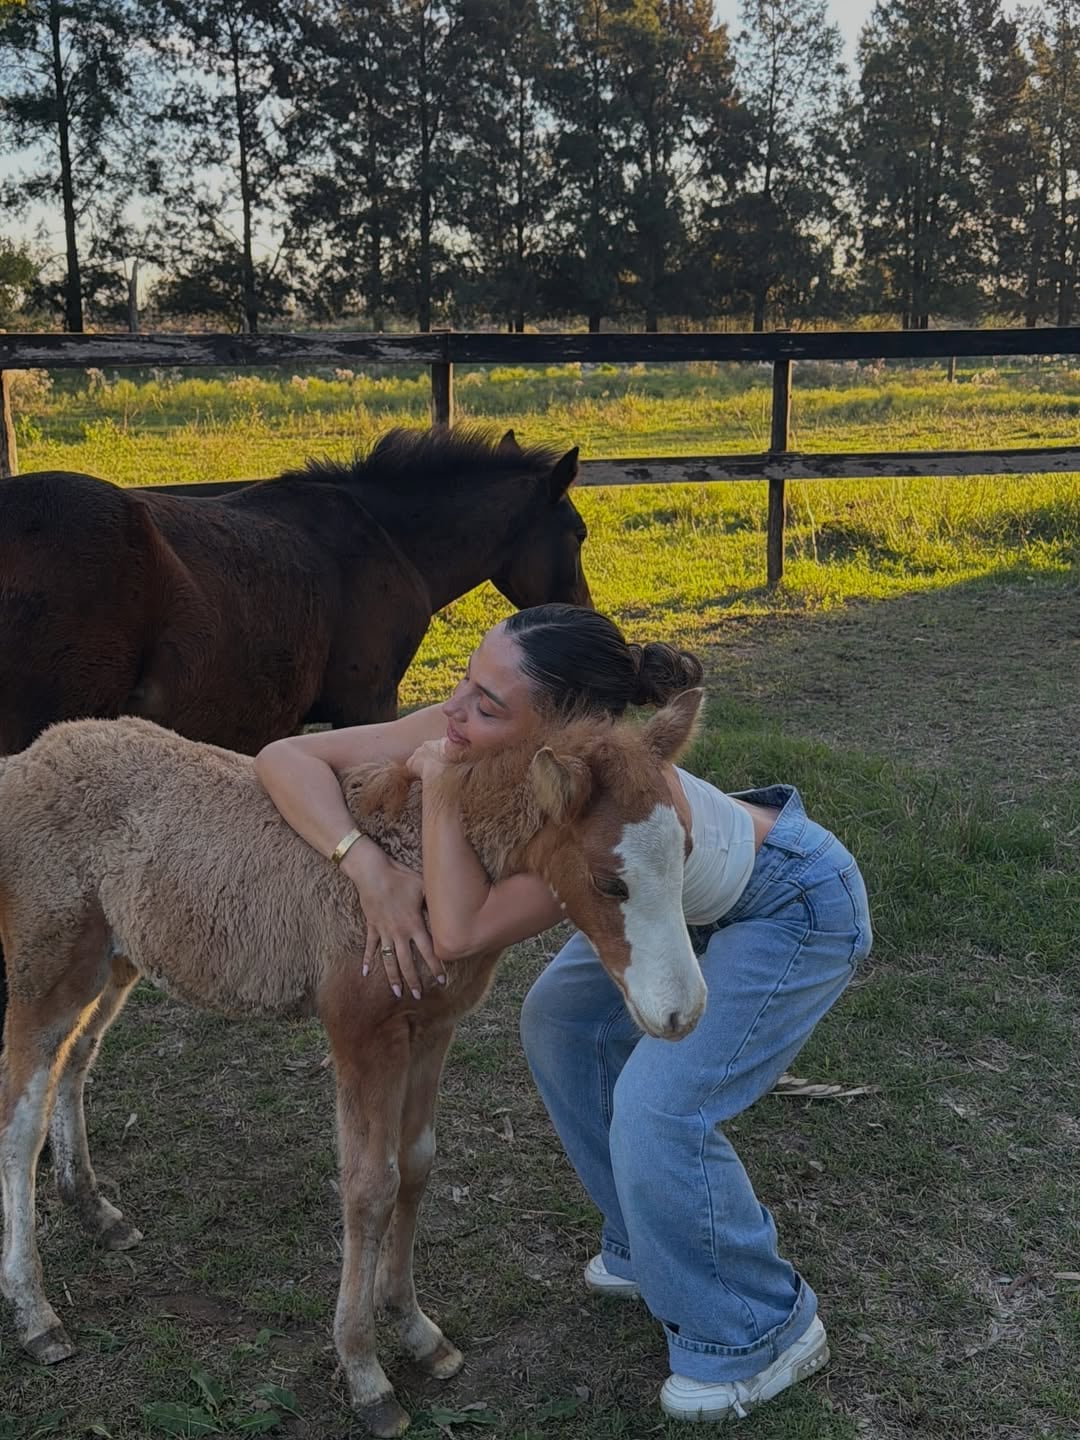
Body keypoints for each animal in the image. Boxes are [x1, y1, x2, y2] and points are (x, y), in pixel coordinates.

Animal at [0, 690, 706, 1437]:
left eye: (687, 852)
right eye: (610, 882)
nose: (683, 1013)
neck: (425, 868)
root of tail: (24, 760)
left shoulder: (432, 1029)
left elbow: (417, 1163)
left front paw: (417, 1330)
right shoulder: (361, 1033)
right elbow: (369, 1187)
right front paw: (366, 1372)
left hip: (117, 958)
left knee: (75, 1059)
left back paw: (92, 1208)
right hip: (47, 968)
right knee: (20, 1120)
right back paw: (35, 1314)